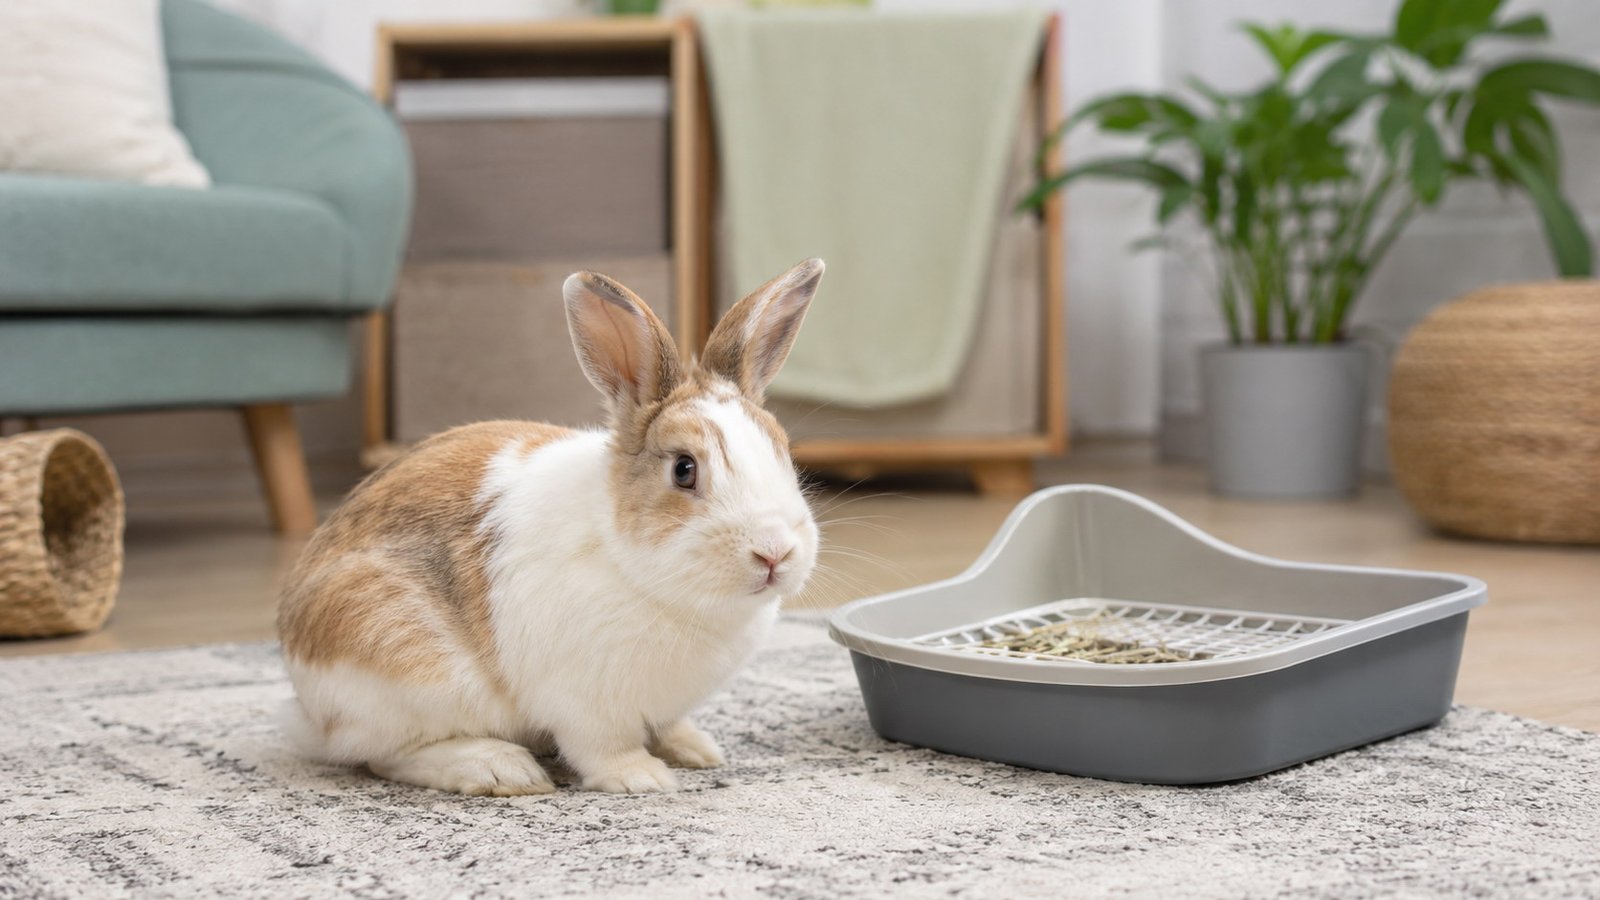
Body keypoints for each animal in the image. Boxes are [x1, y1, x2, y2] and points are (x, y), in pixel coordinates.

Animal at [277, 258, 825, 796]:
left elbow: (667, 726)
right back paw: (499, 770)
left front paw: (697, 750)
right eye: (684, 469)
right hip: (412, 674)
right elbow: (602, 747)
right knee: (385, 756)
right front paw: (642, 778)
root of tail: (307, 704)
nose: (774, 553)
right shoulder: (586, 702)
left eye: (783, 451)